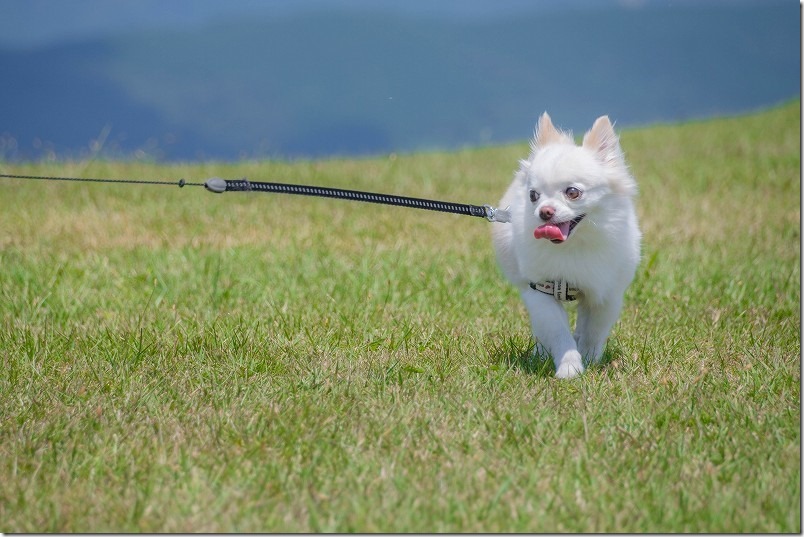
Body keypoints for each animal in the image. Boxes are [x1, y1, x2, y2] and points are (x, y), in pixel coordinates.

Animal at [490, 113, 640, 376]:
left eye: (572, 192)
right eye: (533, 195)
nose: (544, 212)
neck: (573, 245)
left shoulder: (605, 295)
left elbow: (593, 332)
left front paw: (589, 359)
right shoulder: (541, 291)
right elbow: (558, 333)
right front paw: (570, 367)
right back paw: (540, 354)